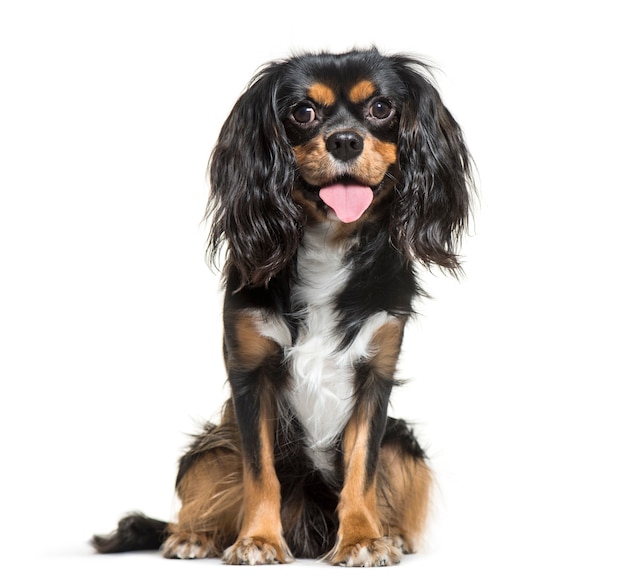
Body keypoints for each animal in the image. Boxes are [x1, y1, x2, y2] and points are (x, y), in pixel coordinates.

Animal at [92, 46, 470, 564]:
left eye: (381, 108)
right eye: (302, 112)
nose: (345, 141)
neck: (329, 242)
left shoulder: (375, 376)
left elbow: (363, 469)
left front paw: (362, 537)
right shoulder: (252, 376)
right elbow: (260, 472)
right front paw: (257, 540)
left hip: (403, 442)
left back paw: (389, 533)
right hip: (213, 444)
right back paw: (194, 535)